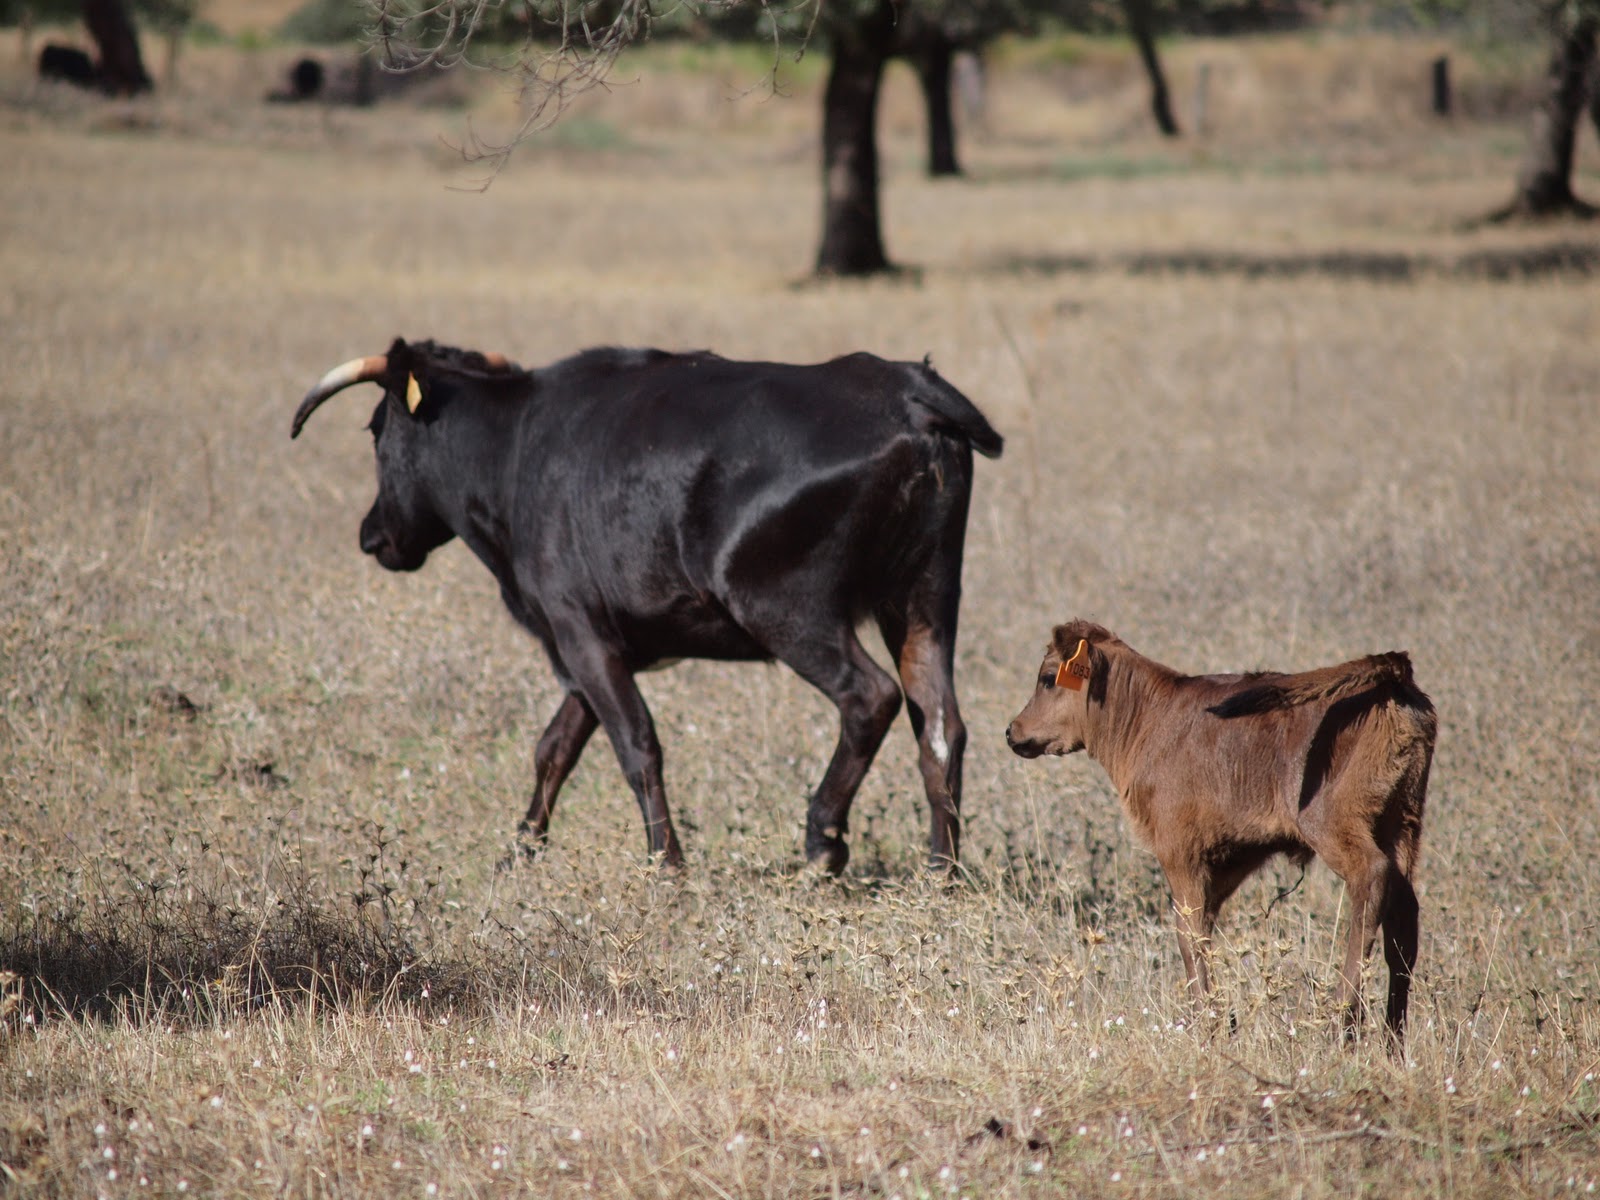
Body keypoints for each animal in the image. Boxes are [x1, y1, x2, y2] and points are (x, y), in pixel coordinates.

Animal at [291, 339, 998, 876]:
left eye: (376, 431)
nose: (371, 535)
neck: (514, 447)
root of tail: (907, 392)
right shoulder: (593, 646)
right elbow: (555, 748)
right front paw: (520, 851)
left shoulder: (578, 629)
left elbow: (635, 744)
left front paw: (667, 864)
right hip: (925, 599)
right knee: (940, 723)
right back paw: (943, 870)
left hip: (788, 610)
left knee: (870, 698)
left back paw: (823, 841)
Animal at [998, 620, 1440, 1043]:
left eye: (1048, 677)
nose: (1012, 731)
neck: (1148, 718)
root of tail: (1393, 677)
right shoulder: (1225, 862)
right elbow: (1204, 930)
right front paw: (1222, 1020)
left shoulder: (1179, 852)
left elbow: (1188, 934)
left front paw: (1204, 1024)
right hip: (1403, 825)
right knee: (1403, 922)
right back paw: (1393, 1040)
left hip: (1335, 825)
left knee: (1370, 881)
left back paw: (1344, 1021)